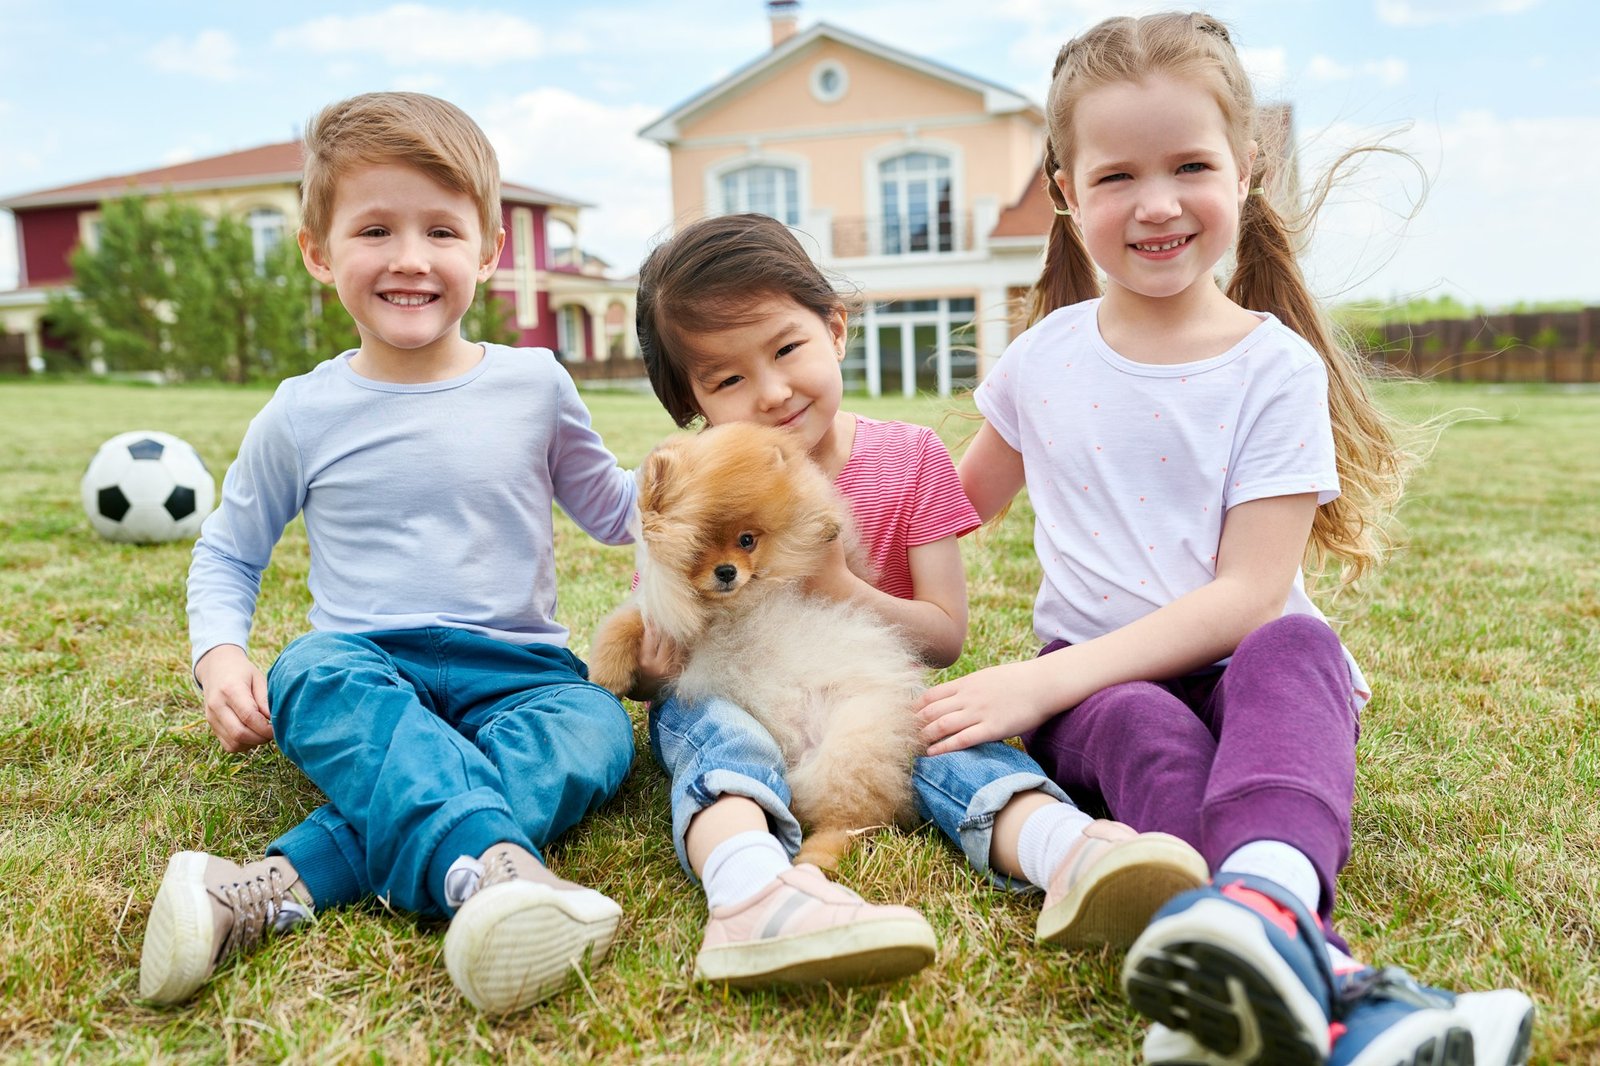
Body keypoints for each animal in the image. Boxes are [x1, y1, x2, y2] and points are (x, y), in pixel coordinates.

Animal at [592, 419, 928, 870]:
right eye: (698, 548)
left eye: (747, 540)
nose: (727, 572)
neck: (730, 608)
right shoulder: (661, 621)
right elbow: (625, 625)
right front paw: (605, 676)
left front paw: (824, 527)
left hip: (853, 739)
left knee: (851, 820)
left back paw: (813, 860)